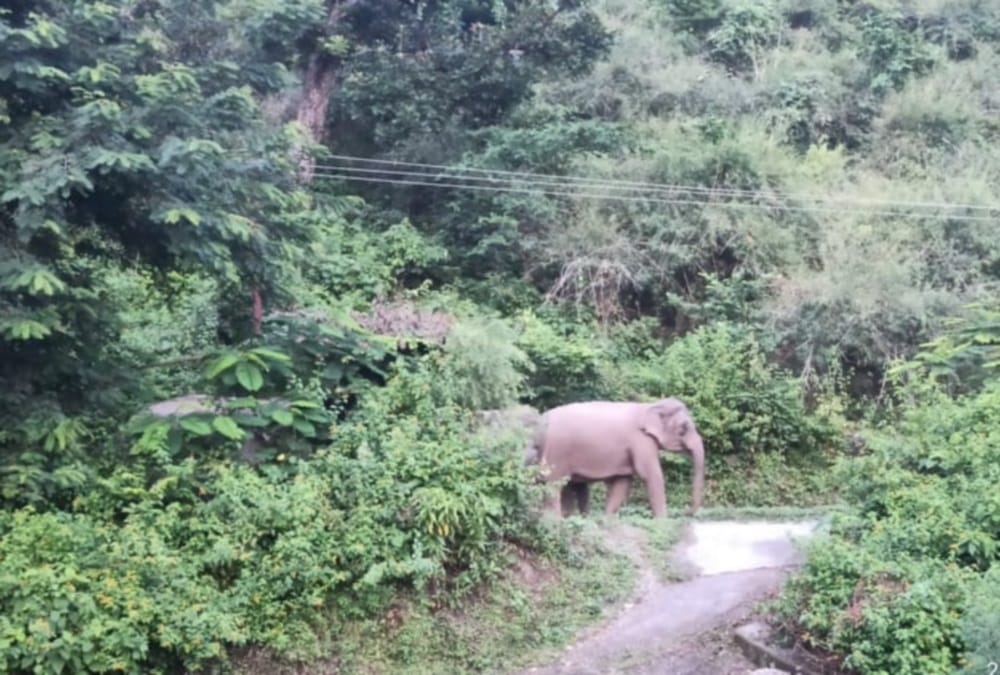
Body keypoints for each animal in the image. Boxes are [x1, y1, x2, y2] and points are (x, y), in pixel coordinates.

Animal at [532, 398, 705, 518]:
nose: (687, 512)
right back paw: (554, 520)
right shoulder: (640, 441)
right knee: (555, 484)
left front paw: (606, 521)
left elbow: (622, 482)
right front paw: (662, 523)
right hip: (557, 452)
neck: (649, 406)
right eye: (683, 428)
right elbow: (650, 474)